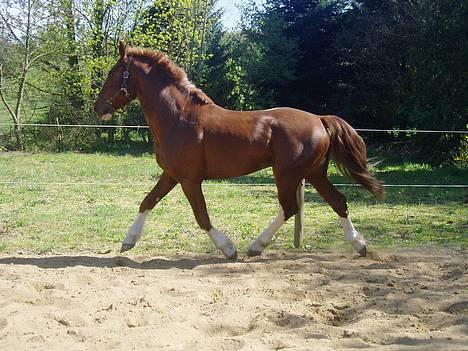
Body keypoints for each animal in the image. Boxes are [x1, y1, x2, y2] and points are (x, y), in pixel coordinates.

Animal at [94, 42, 384, 262]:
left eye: (112, 73)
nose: (99, 108)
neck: (178, 117)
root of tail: (319, 119)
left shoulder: (189, 179)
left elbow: (202, 216)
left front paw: (229, 249)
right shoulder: (172, 175)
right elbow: (147, 201)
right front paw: (128, 242)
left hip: (287, 174)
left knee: (290, 207)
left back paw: (256, 246)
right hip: (313, 173)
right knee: (338, 202)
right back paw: (359, 245)